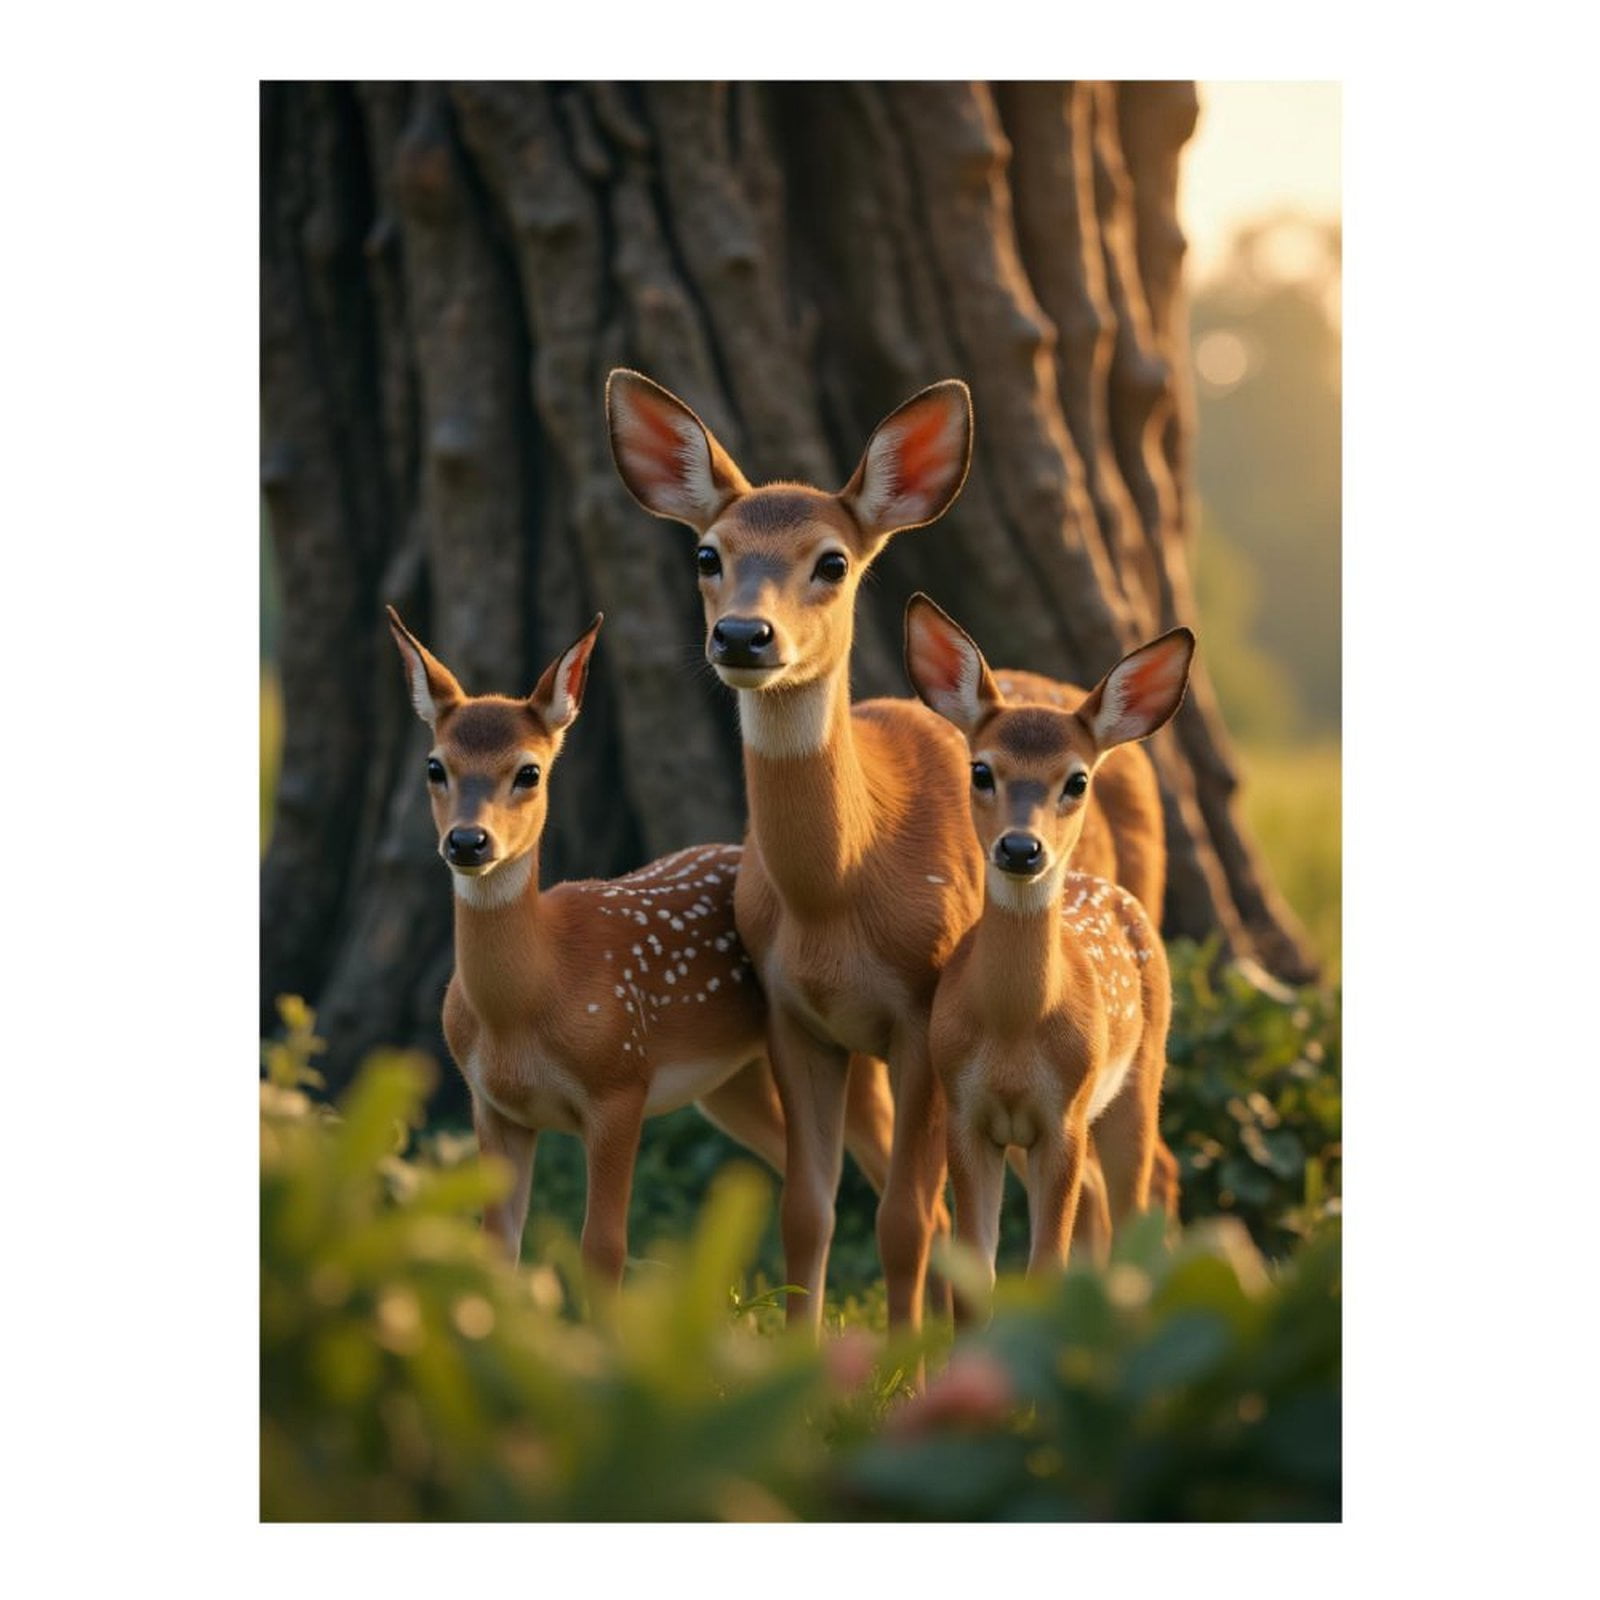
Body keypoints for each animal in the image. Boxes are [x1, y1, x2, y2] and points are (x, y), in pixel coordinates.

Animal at [385, 607, 897, 1294]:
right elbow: (496, 1252)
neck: (529, 999)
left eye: (529, 772)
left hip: (849, 1048)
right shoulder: (493, 1107)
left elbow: (603, 1249)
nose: (469, 842)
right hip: (731, 1082)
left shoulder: (619, 1085)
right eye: (435, 767)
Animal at [904, 593, 1194, 1306]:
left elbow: (1045, 1265)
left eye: (1077, 780)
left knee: (1143, 1194)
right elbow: (976, 1275)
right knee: (1105, 1209)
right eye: (981, 770)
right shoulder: (967, 1116)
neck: (1013, 1035)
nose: (1019, 847)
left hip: (1136, 1080)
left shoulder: (1061, 1118)